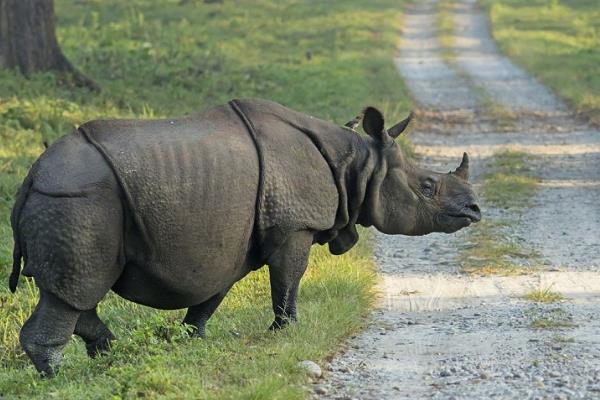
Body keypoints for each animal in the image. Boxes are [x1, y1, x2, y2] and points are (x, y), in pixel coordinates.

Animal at [9, 98, 480, 376]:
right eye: (427, 188)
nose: (475, 210)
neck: (358, 164)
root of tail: (30, 178)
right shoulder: (294, 225)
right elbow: (289, 278)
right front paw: (286, 331)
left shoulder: (232, 241)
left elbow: (212, 294)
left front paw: (192, 340)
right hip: (80, 200)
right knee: (74, 290)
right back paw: (58, 379)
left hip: (75, 201)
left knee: (77, 292)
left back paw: (108, 354)